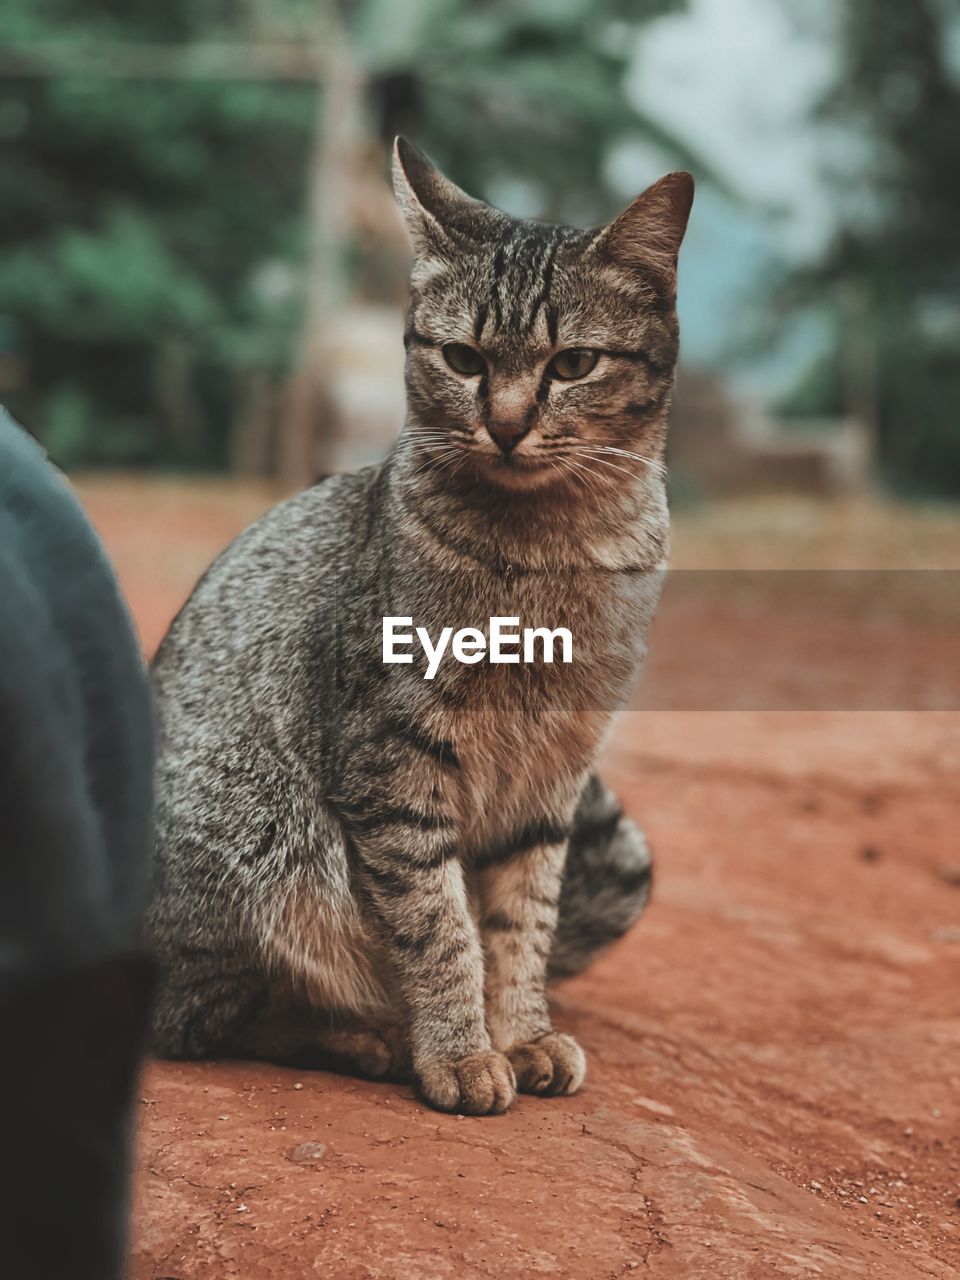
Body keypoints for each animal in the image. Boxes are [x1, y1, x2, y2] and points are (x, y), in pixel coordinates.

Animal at [146, 137, 691, 1111]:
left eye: (573, 365)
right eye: (464, 358)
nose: (506, 425)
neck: (549, 551)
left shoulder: (553, 781)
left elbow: (519, 923)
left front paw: (522, 1031)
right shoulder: (393, 766)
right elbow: (439, 925)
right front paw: (460, 1050)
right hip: (265, 843)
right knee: (211, 1020)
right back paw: (370, 1038)